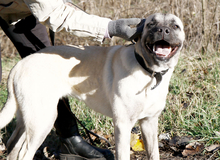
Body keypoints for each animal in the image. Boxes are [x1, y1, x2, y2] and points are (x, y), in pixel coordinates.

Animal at [0, 13, 185, 160]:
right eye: (150, 24)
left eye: (175, 26)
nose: (162, 30)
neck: (150, 71)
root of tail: (19, 65)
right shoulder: (123, 125)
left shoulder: (149, 122)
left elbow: (154, 154)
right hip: (42, 120)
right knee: (24, 153)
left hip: (28, 118)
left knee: (13, 146)